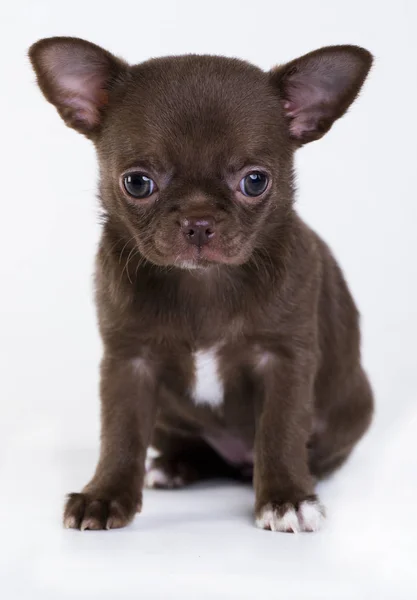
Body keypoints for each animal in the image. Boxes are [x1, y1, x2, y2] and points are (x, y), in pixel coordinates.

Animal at [30, 37, 372, 532]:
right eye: (137, 182)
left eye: (255, 181)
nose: (198, 221)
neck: (202, 282)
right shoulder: (128, 362)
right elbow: (120, 433)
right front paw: (104, 496)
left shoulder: (285, 361)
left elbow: (281, 429)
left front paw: (286, 498)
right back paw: (174, 466)